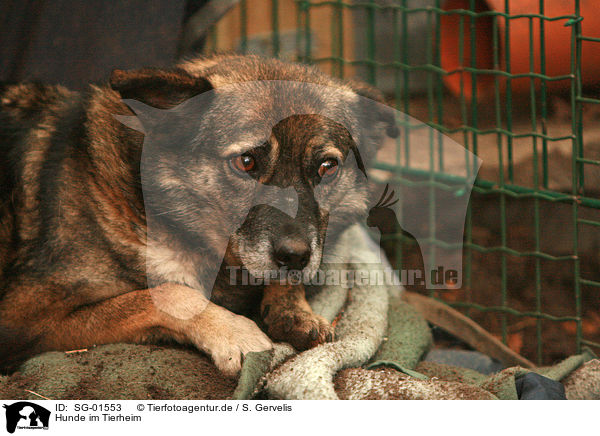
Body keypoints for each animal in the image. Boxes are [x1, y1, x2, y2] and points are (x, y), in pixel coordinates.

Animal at [1, 53, 398, 374]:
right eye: (246, 162)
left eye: (327, 168)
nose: (296, 257)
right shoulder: (19, 316)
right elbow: (167, 293)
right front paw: (234, 331)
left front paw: (294, 311)